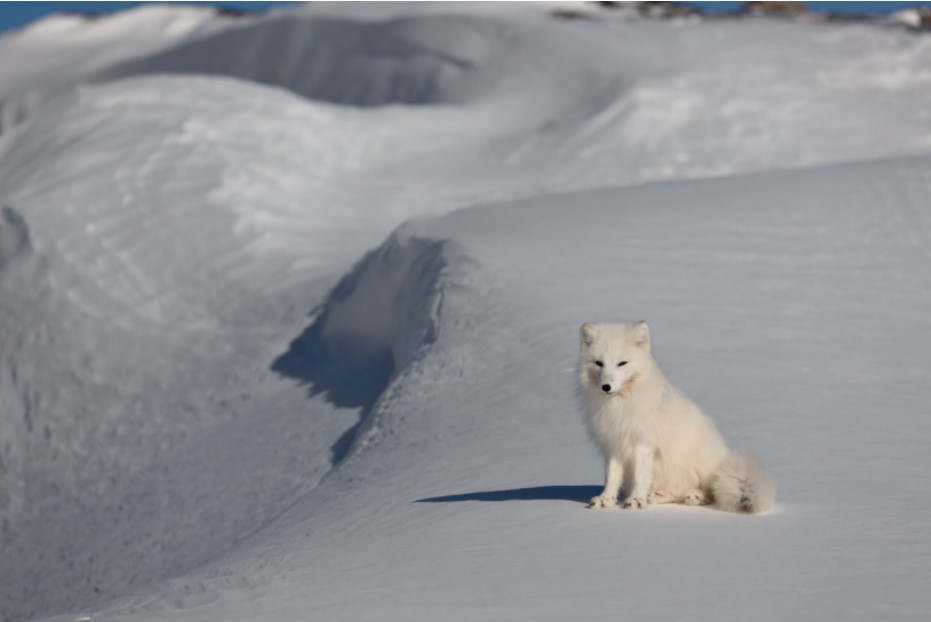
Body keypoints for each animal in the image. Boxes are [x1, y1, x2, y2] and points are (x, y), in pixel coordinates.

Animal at [580, 324, 776, 516]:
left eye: (622, 363)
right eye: (599, 363)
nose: (606, 387)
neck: (619, 404)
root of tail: (725, 456)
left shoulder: (643, 444)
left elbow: (640, 476)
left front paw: (636, 500)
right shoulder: (613, 444)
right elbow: (611, 476)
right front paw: (606, 499)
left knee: (711, 492)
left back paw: (696, 496)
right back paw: (658, 495)